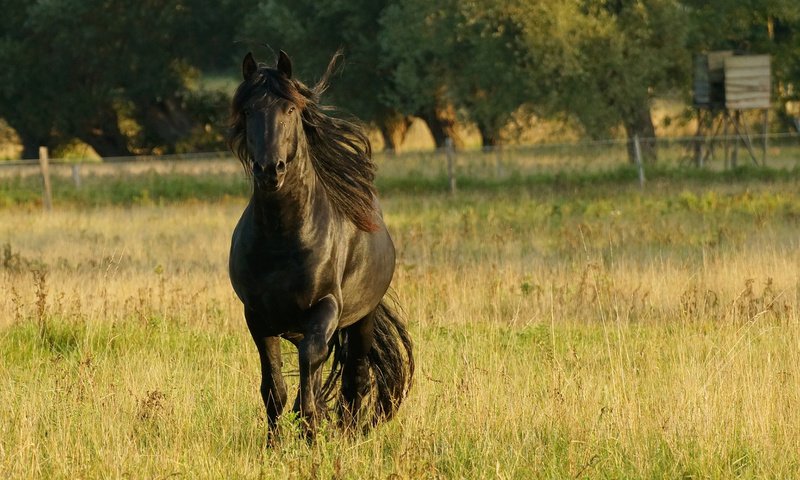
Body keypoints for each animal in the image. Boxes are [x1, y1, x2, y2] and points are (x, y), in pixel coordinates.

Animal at [225, 50, 412, 436]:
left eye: (290, 110)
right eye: (248, 111)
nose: (270, 170)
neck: (281, 238)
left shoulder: (324, 308)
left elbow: (312, 371)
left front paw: (311, 434)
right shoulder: (257, 317)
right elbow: (275, 389)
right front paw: (275, 444)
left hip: (361, 319)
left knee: (354, 379)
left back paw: (349, 435)